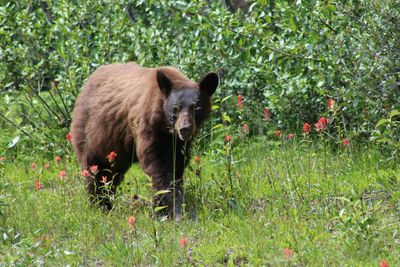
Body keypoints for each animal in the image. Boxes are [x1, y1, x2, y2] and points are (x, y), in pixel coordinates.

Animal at [69, 63, 219, 220]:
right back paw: (100, 205)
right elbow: (159, 168)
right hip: (93, 134)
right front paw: (172, 210)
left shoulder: (177, 143)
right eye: (175, 108)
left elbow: (176, 166)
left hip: (117, 151)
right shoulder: (148, 127)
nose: (185, 129)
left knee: (111, 174)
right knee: (95, 169)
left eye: (196, 108)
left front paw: (164, 209)